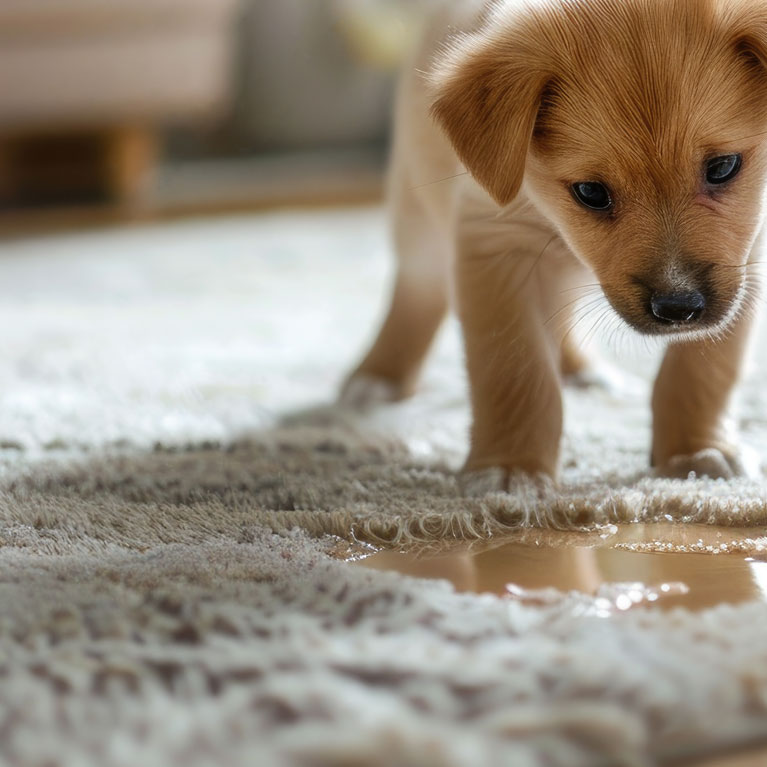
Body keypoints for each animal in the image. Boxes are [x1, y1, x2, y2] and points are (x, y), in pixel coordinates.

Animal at [342, 0, 767, 488]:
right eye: (591, 192)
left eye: (722, 167)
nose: (678, 309)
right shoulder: (498, 246)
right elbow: (517, 370)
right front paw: (510, 467)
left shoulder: (747, 254)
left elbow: (704, 368)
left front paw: (695, 450)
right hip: (418, 224)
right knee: (415, 297)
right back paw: (378, 378)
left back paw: (583, 372)